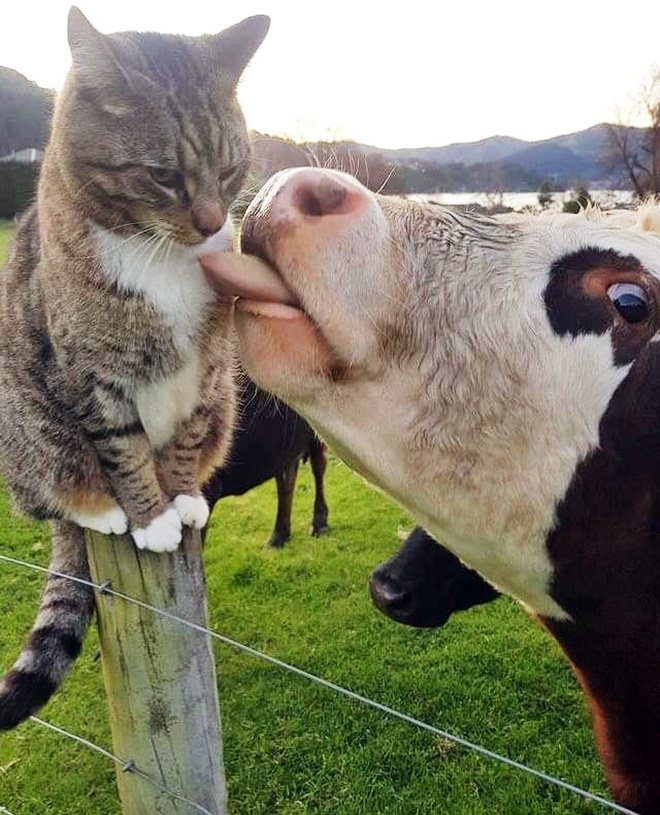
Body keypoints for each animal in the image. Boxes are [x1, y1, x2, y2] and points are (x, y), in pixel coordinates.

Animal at [0, 6, 270, 728]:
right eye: (162, 176)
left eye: (230, 168)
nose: (210, 221)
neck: (158, 253)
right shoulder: (91, 377)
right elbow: (122, 449)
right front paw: (150, 518)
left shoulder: (206, 373)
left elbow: (181, 441)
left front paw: (179, 498)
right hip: (25, 423)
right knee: (53, 494)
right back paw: (99, 510)